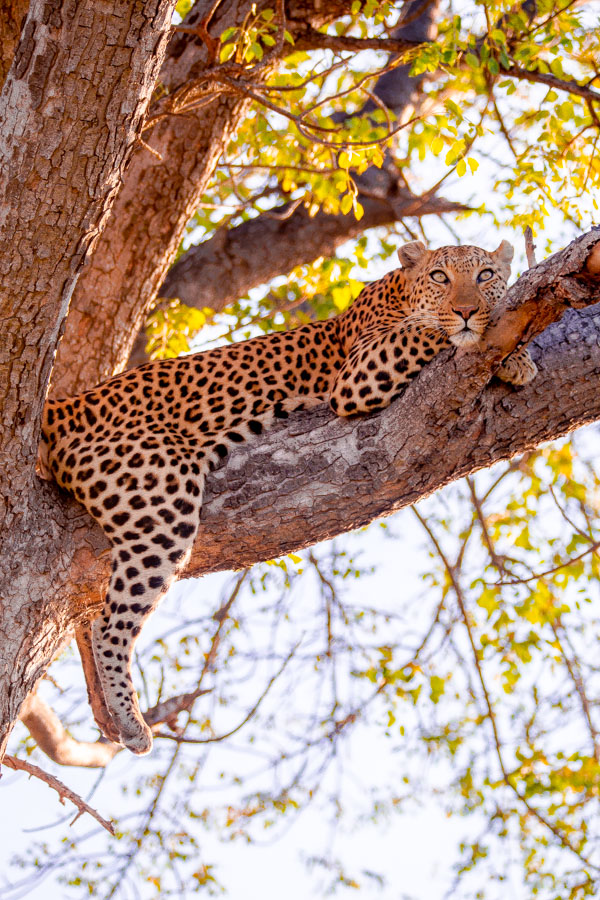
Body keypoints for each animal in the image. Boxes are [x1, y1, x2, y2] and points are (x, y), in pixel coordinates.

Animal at [38, 239, 536, 752]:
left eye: (485, 275)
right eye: (440, 277)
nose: (466, 309)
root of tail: (66, 405)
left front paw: (510, 354)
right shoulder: (359, 372)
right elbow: (430, 331)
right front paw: (503, 351)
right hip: (160, 498)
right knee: (109, 624)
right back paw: (130, 718)